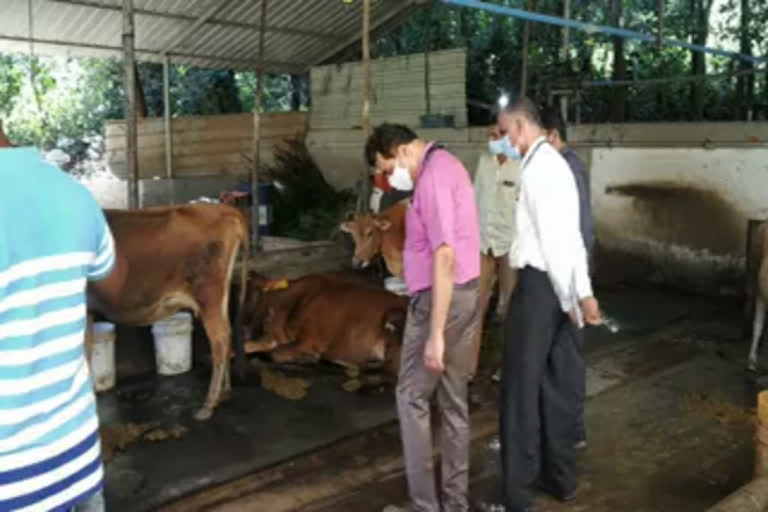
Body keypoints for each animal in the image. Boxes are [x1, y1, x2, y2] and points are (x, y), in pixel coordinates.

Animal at [88, 203, 249, 420]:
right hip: (219, 296)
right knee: (228, 334)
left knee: (220, 341)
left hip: (208, 295)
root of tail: (224, 209)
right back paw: (224, 392)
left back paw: (208, 404)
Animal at [238, 272, 408, 376]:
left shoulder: (309, 340)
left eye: (251, 298)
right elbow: (253, 348)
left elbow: (274, 353)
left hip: (393, 318)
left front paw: (306, 360)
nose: (244, 331)